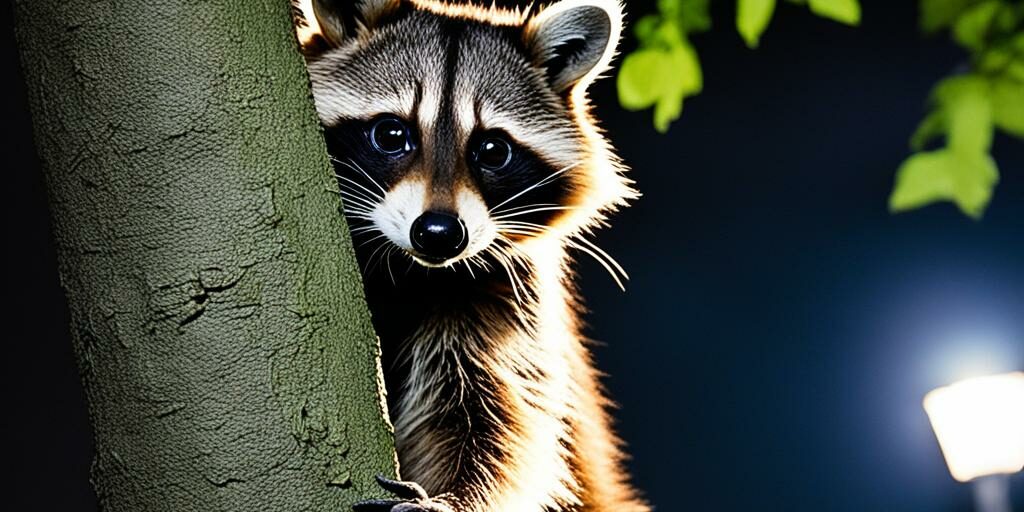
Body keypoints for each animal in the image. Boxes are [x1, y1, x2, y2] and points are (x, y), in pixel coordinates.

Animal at [295, 1, 646, 510]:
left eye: (493, 149)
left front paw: (454, 498)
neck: (410, 269)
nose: (439, 235)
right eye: (390, 133)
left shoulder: (507, 295)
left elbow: (491, 418)